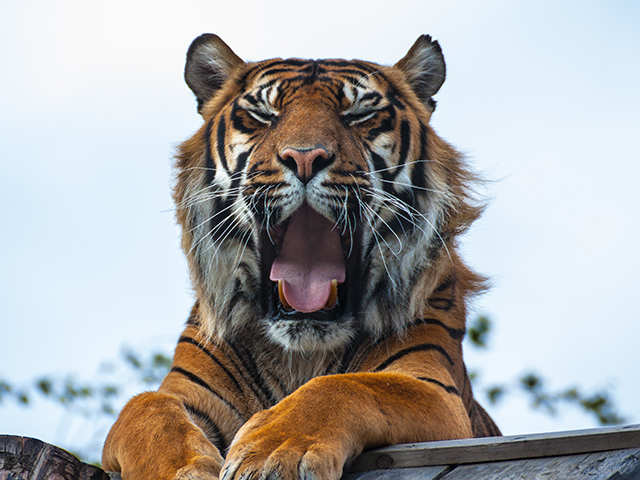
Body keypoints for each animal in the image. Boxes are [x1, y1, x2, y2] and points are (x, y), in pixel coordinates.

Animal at [102, 34, 500, 480]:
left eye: (359, 114)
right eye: (263, 115)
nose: (305, 157)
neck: (300, 356)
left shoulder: (433, 389)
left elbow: (347, 385)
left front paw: (274, 452)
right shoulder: (182, 392)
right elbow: (145, 407)